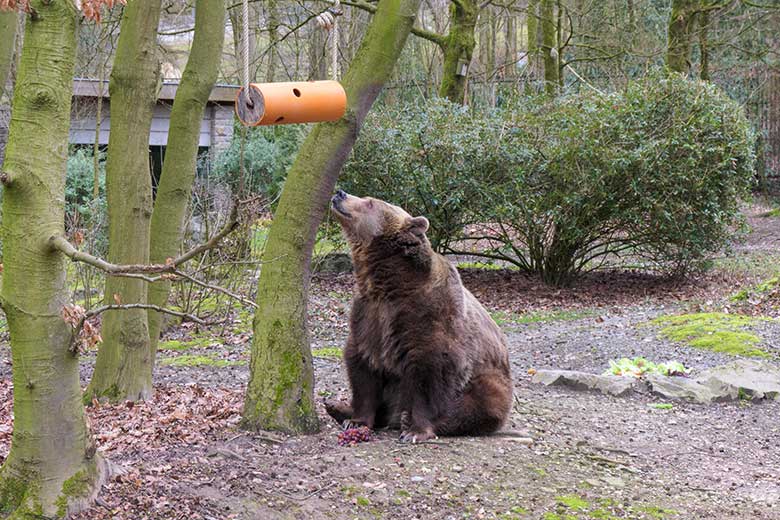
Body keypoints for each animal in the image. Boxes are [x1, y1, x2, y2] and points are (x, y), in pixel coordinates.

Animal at [326, 191, 516, 442]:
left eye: (370, 203)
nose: (340, 193)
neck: (388, 281)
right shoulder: (368, 313)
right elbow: (362, 364)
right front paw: (356, 420)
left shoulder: (430, 313)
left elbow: (430, 369)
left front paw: (415, 430)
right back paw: (335, 406)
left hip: (490, 376)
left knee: (482, 401)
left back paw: (416, 419)